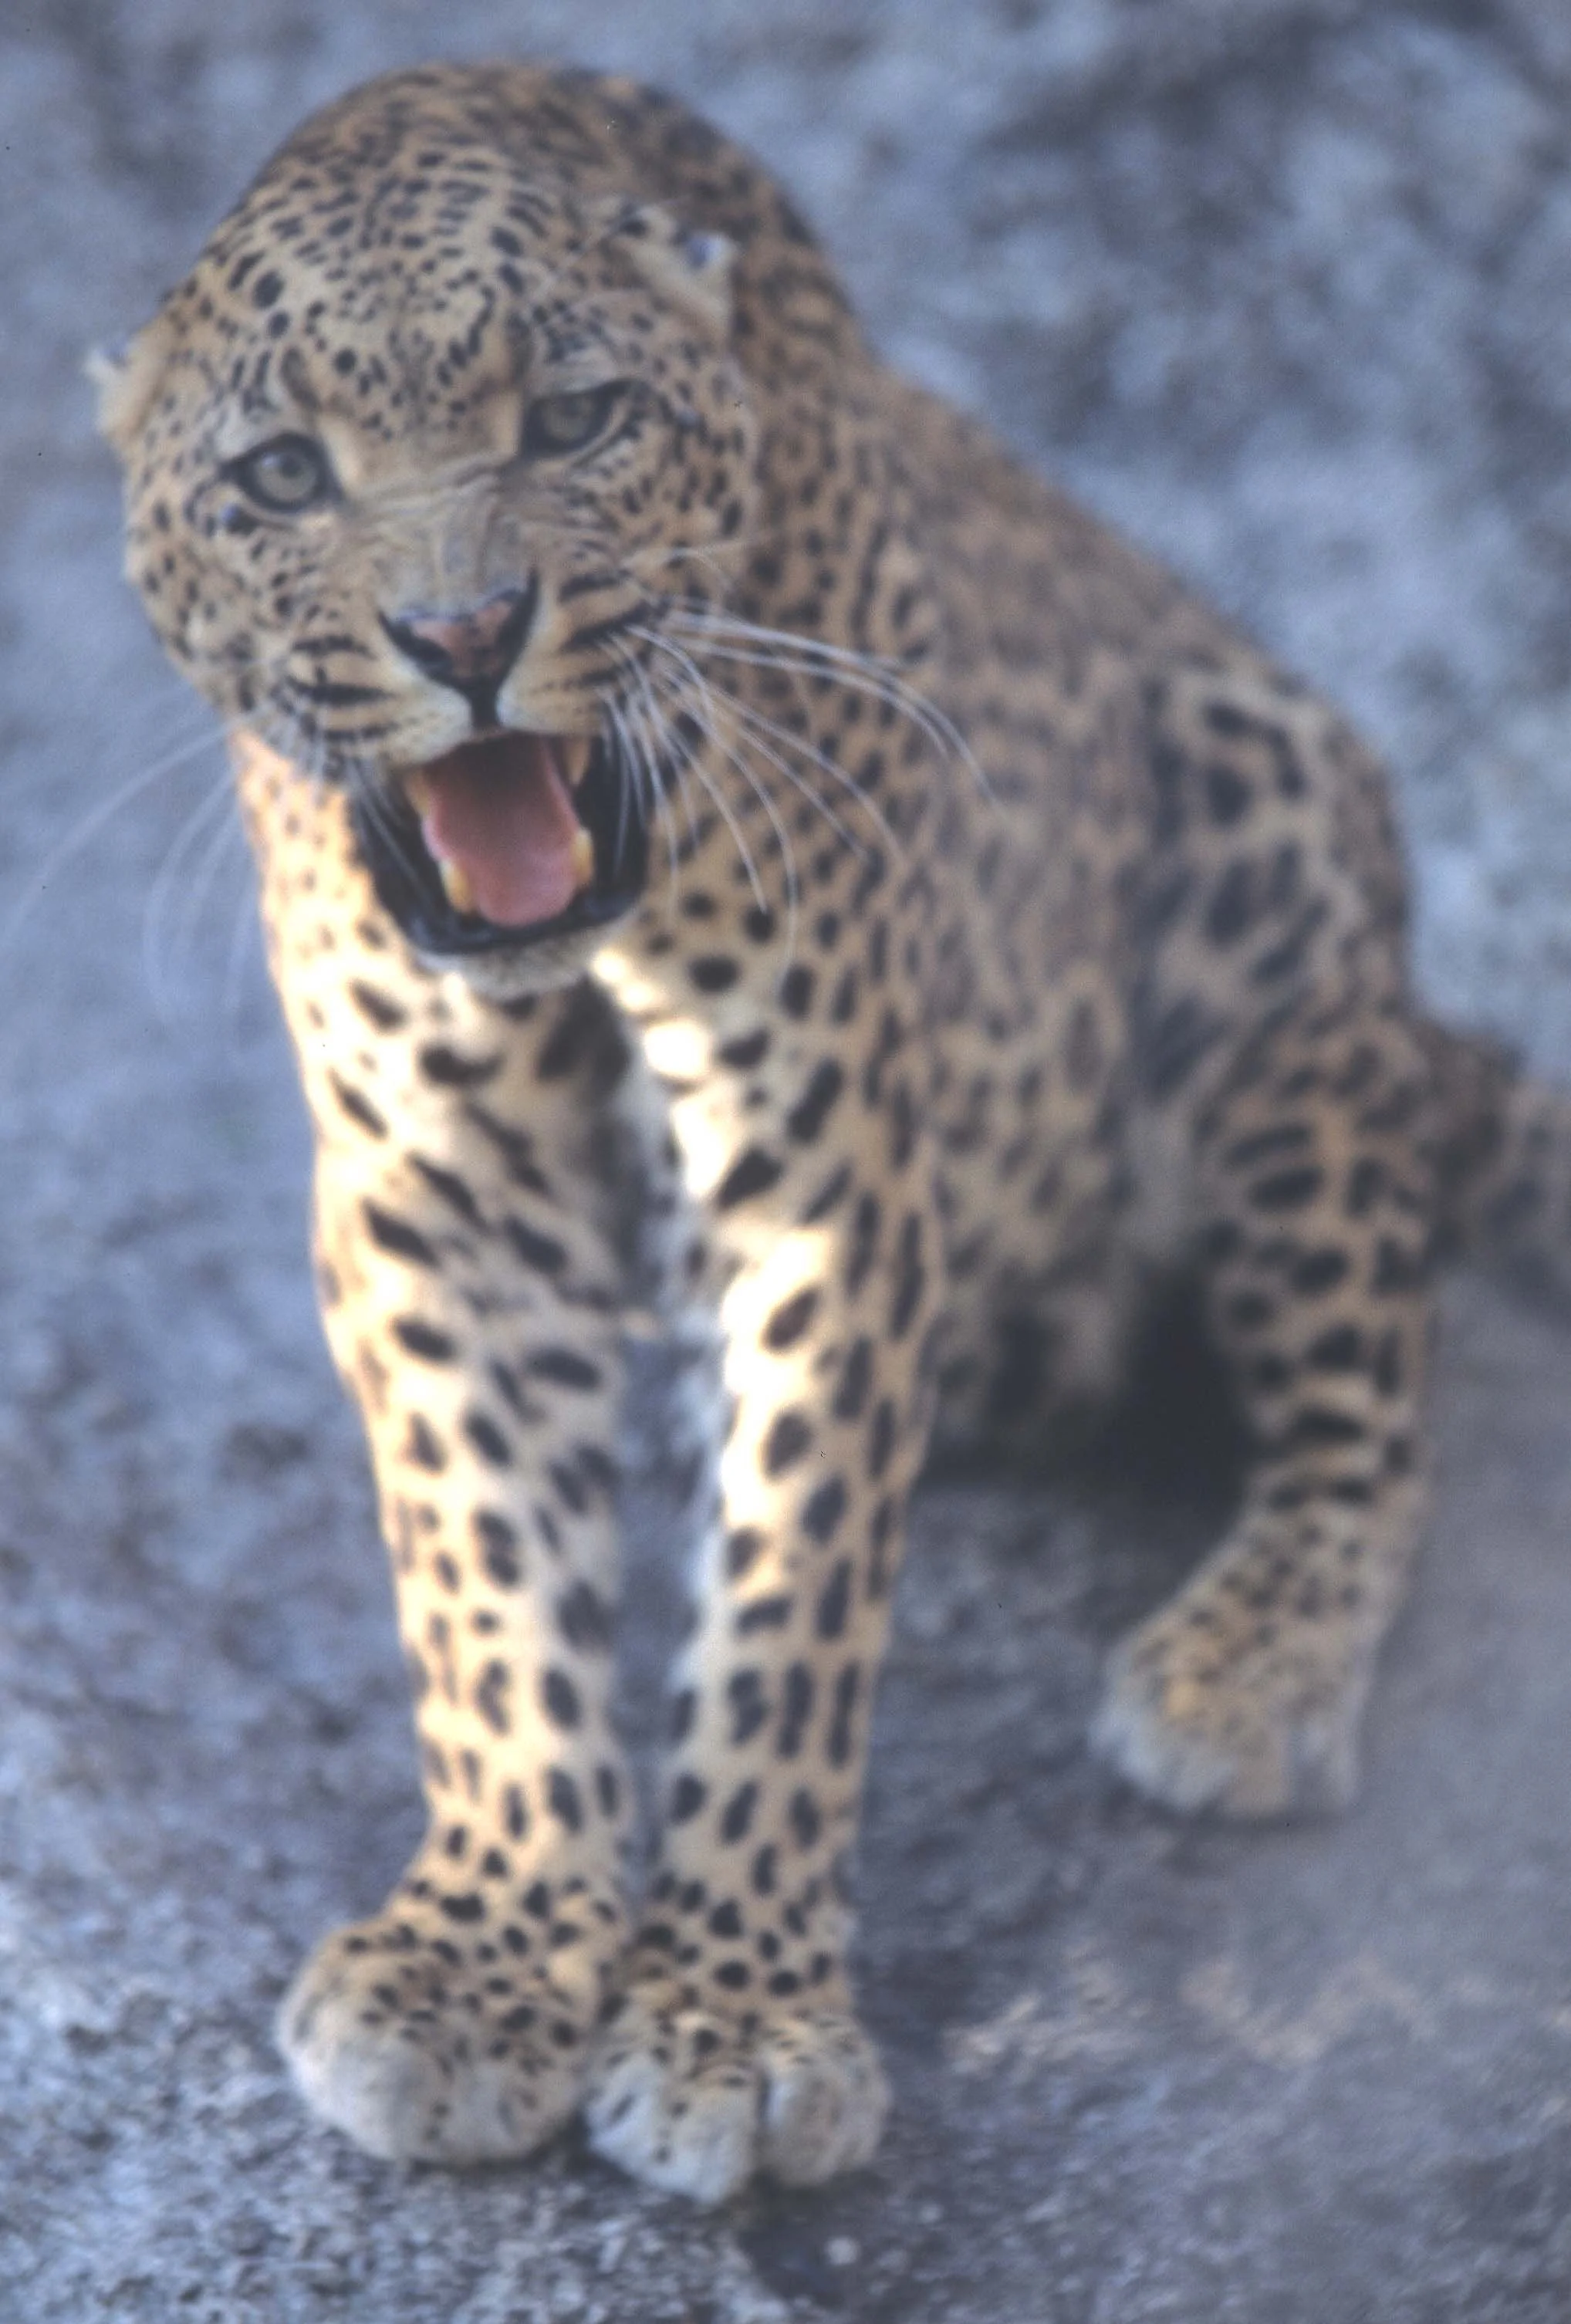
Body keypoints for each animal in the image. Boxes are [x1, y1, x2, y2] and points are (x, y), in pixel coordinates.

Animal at [92, 59, 1571, 2206]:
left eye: (574, 420)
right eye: (283, 475)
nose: (464, 631)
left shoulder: (823, 1179)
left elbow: (786, 1593)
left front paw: (733, 2023)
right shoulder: (432, 1209)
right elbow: (485, 1585)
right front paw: (485, 1963)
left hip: (1274, 889)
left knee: (1377, 1403)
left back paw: (1244, 1669)